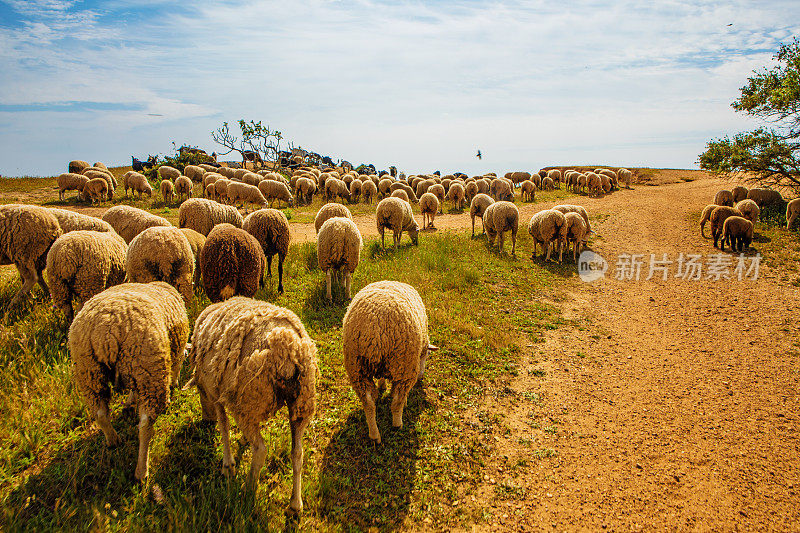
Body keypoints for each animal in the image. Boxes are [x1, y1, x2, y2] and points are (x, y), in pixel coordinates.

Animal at [69, 280, 190, 480]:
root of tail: (106, 331)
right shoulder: (174, 350)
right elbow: (176, 366)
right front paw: (172, 388)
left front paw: (129, 403)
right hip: (149, 368)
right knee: (145, 424)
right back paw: (142, 470)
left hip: (90, 371)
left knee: (100, 413)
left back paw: (113, 440)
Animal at [189, 298, 318, 510]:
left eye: (200, 394)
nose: (206, 420)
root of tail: (285, 344)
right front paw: (242, 441)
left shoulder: (216, 394)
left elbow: (224, 426)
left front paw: (228, 464)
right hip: (301, 403)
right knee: (297, 452)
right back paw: (295, 503)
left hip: (248, 403)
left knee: (261, 449)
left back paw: (248, 488)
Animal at [340, 280, 434, 442]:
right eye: (427, 355)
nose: (421, 377)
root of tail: (375, 329)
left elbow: (382, 378)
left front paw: (382, 386)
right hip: (405, 365)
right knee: (396, 402)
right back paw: (397, 424)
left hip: (356, 368)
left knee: (368, 404)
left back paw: (374, 435)